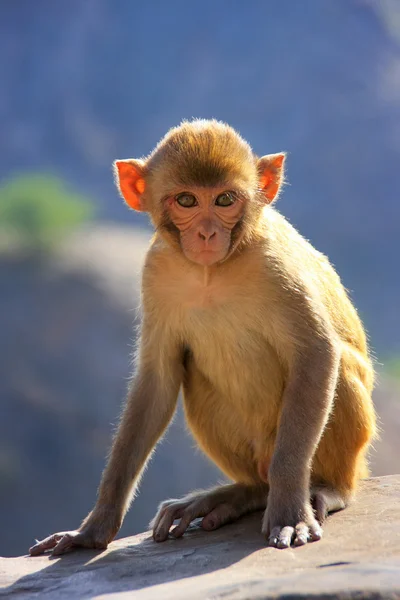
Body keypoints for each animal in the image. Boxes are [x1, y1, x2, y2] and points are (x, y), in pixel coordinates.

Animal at [29, 119, 376, 556]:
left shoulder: (275, 264)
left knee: (339, 375)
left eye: (225, 199)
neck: (212, 272)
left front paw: (289, 512)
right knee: (194, 379)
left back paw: (328, 490)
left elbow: (316, 355)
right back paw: (240, 494)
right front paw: (93, 528)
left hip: (340, 454)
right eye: (187, 200)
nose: (208, 233)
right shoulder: (156, 272)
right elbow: (157, 381)